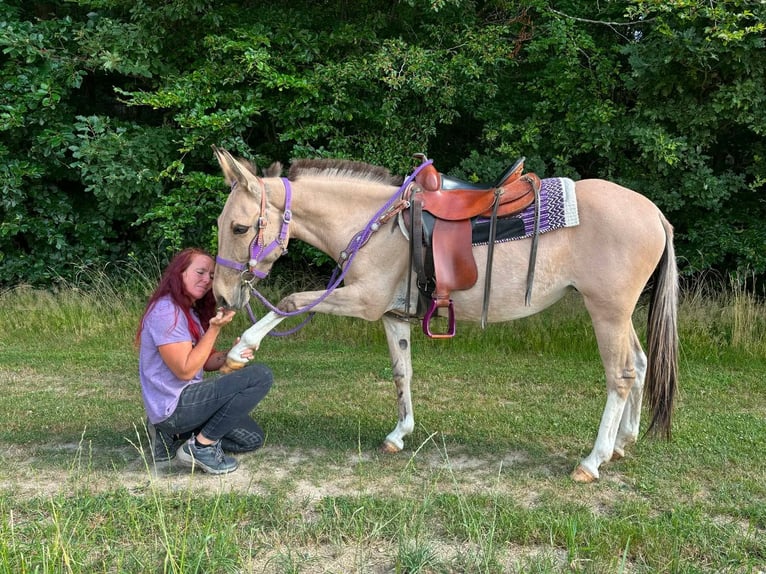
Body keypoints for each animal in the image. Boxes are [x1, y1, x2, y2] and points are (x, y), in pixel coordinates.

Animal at [210, 147, 679, 483]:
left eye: (239, 227)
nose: (221, 294)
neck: (376, 225)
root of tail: (655, 213)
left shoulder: (363, 300)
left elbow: (291, 302)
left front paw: (240, 351)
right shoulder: (393, 315)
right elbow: (402, 371)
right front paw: (399, 435)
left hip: (607, 312)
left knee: (621, 374)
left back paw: (593, 461)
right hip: (619, 315)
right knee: (640, 364)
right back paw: (622, 443)